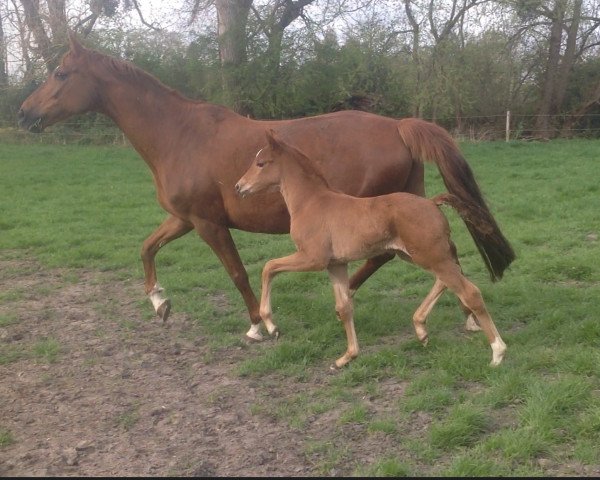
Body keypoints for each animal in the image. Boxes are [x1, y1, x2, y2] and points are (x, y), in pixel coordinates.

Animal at [234, 129, 506, 370]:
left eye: (260, 163)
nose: (239, 186)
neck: (311, 202)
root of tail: (432, 203)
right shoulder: (336, 264)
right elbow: (344, 308)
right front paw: (346, 358)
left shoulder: (313, 258)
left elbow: (269, 267)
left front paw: (272, 326)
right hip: (417, 255)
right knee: (447, 280)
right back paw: (420, 329)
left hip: (429, 256)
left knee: (469, 292)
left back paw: (497, 352)